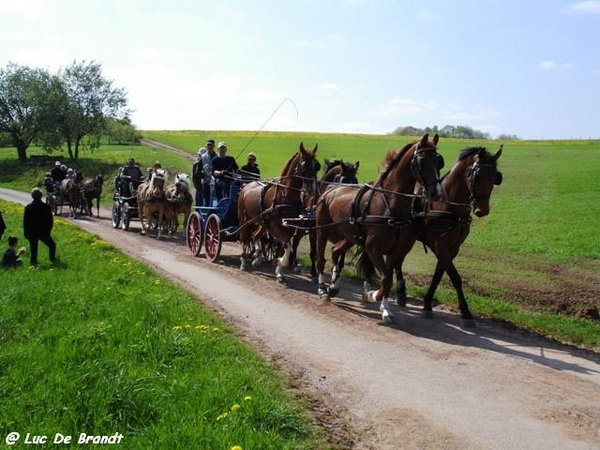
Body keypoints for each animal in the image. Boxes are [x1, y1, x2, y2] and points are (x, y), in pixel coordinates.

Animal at [238, 142, 322, 284]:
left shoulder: (289, 228)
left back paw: (257, 259)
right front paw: (279, 263)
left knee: (255, 236)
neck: (285, 195)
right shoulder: (275, 227)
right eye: (304, 166)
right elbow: (287, 247)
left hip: (262, 223)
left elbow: (285, 247)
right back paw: (244, 261)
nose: (313, 191)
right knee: (244, 238)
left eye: (317, 166)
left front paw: (279, 271)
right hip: (245, 220)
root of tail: (246, 185)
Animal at [316, 134, 442, 320]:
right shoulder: (372, 247)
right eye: (421, 161)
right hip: (322, 232)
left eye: (439, 161)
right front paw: (371, 295)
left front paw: (384, 307)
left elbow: (387, 278)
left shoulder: (395, 251)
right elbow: (385, 279)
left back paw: (333, 286)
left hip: (349, 237)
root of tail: (331, 189)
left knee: (336, 252)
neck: (390, 205)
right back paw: (323, 290)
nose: (436, 193)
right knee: (320, 260)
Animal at [390, 146, 506, 326]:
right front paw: (466, 312)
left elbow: (438, 276)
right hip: (404, 236)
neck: (449, 205)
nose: (482, 210)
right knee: (397, 259)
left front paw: (427, 305)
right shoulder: (439, 244)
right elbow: (455, 277)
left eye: (495, 177)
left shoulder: (453, 248)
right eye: (477, 176)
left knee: (397, 259)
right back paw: (400, 293)